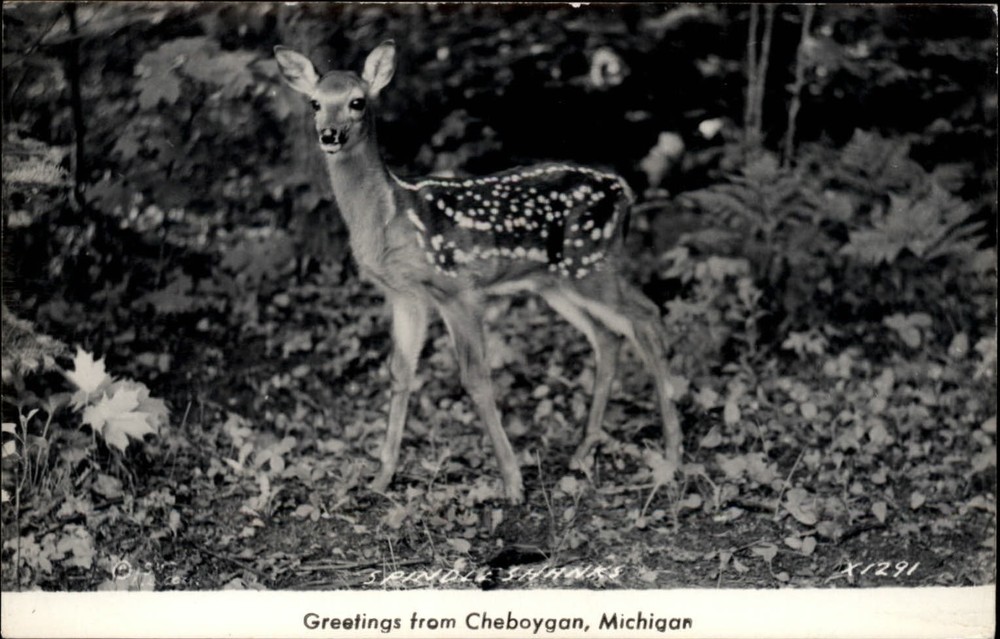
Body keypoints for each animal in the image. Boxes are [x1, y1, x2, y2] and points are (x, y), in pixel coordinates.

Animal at [274, 40, 683, 504]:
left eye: (357, 102)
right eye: (315, 102)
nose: (329, 134)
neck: (388, 216)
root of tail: (626, 191)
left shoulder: (457, 288)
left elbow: (475, 378)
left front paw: (513, 482)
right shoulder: (406, 296)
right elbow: (400, 372)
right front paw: (381, 478)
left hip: (592, 264)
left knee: (646, 317)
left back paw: (671, 457)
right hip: (557, 282)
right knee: (609, 336)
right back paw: (583, 451)